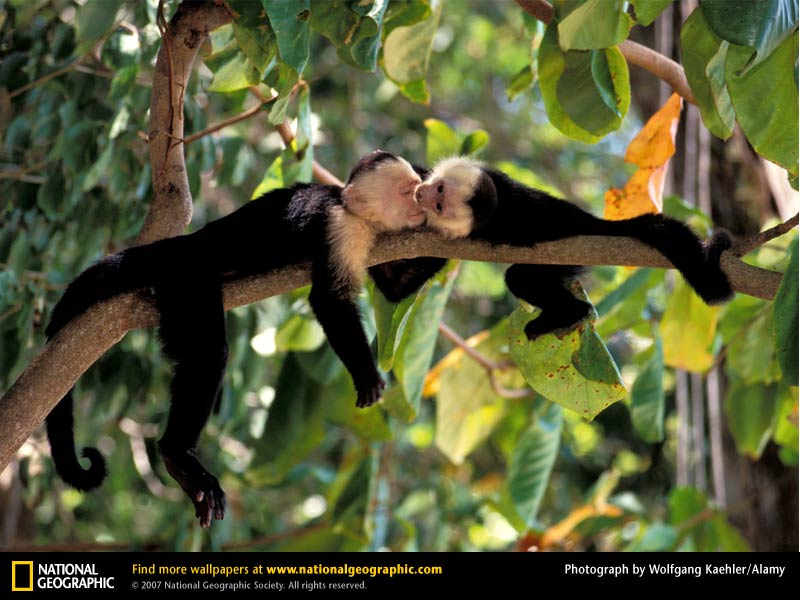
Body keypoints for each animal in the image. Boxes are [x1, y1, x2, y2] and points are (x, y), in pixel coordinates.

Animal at [44, 150, 430, 527]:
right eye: (405, 191)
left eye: (415, 188)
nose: (420, 201)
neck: (354, 211)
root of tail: (185, 244)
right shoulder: (340, 227)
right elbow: (329, 300)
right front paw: (365, 375)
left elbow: (394, 289)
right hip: (187, 278)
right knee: (208, 354)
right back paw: (177, 455)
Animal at [414, 156, 733, 341]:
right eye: (438, 189)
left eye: (440, 202)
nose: (422, 194)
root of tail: (591, 222)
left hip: (567, 252)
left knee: (520, 277)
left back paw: (569, 313)